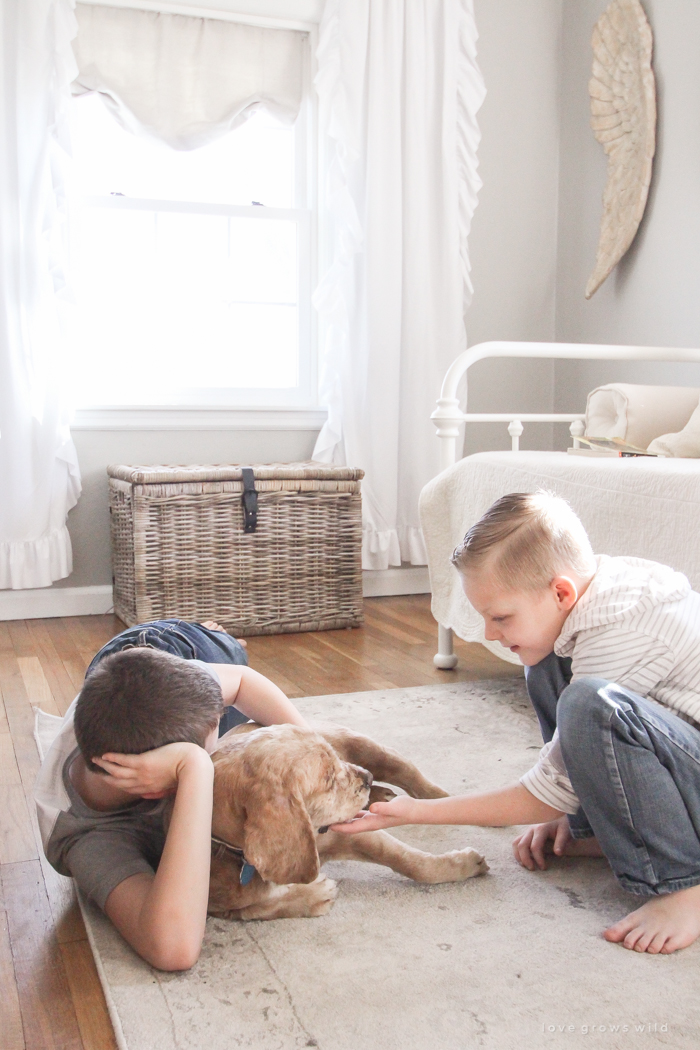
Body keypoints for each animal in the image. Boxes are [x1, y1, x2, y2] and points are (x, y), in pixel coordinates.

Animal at [207, 722, 486, 919]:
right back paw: (381, 795)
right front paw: (315, 894)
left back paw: (446, 800)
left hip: (369, 750)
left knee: (411, 775)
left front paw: (466, 865)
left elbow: (411, 862)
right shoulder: (220, 905)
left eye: (335, 760)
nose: (368, 777)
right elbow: (258, 907)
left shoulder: (347, 833)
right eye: (329, 778)